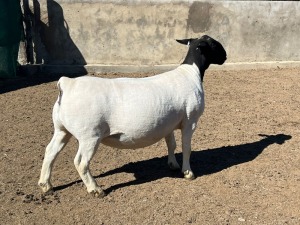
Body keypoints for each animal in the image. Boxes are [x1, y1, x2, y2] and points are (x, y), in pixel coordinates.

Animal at [38, 33, 227, 197]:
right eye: (212, 44)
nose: (225, 56)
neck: (190, 73)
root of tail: (67, 84)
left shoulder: (169, 123)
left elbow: (171, 145)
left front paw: (173, 164)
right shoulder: (190, 120)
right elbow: (186, 147)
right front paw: (188, 172)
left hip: (62, 129)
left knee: (50, 151)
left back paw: (45, 185)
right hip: (89, 135)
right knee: (81, 163)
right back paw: (95, 189)